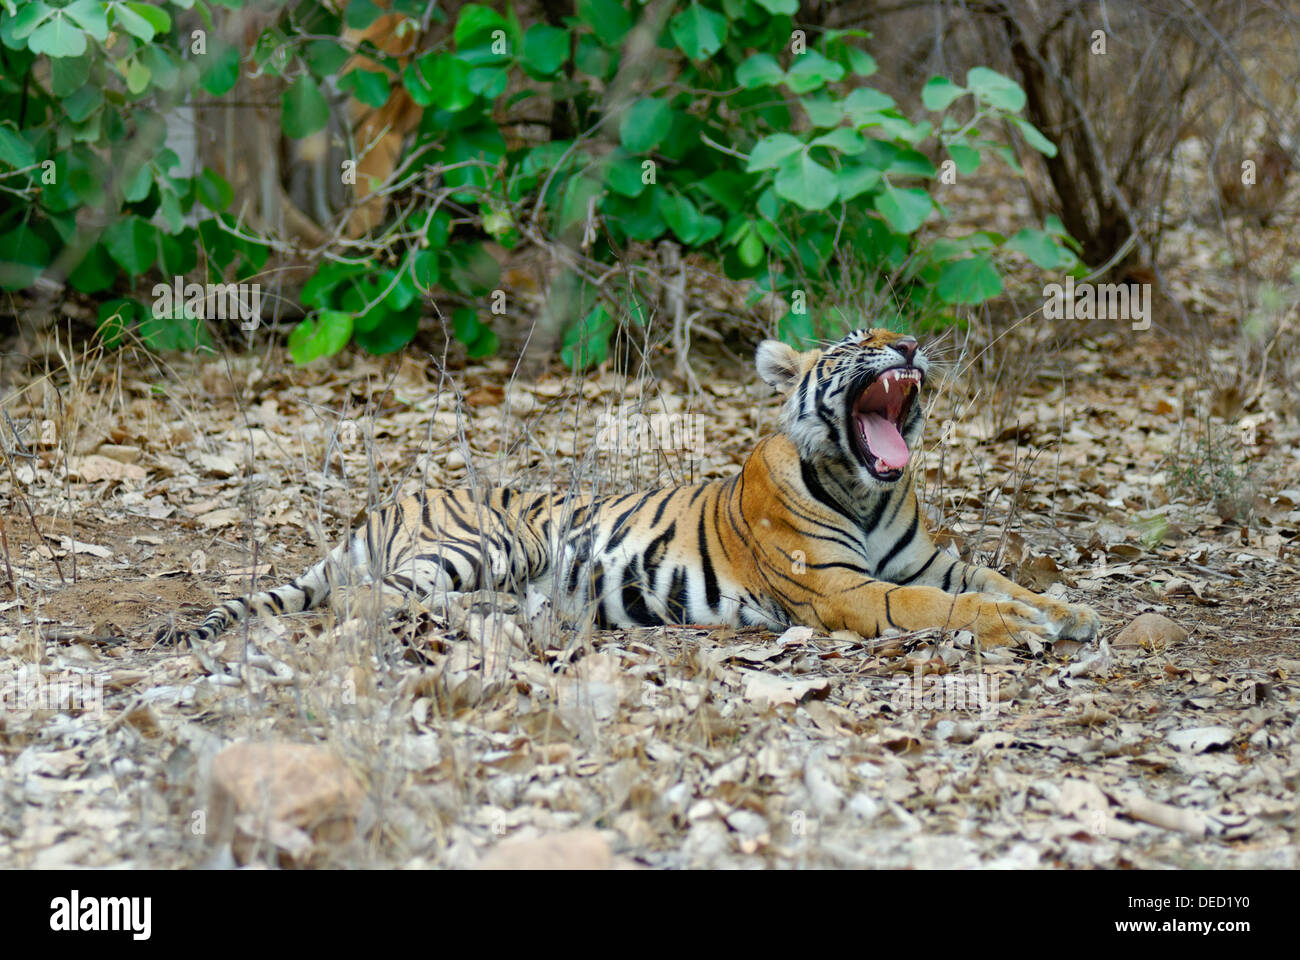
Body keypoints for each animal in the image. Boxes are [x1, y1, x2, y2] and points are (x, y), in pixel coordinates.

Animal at [159, 325, 1097, 647]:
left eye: (896, 334)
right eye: (855, 343)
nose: (906, 348)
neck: (865, 489)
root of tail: (382, 506)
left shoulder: (926, 562)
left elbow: (992, 578)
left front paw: (1069, 611)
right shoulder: (848, 590)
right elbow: (952, 606)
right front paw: (1029, 629)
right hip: (492, 542)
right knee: (368, 602)